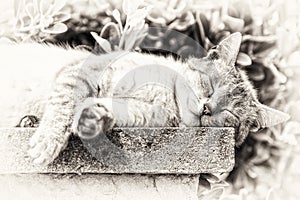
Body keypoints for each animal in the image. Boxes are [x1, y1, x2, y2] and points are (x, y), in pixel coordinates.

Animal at [0, 32, 290, 165]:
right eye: (210, 85)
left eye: (229, 115)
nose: (206, 109)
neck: (167, 95)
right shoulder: (82, 71)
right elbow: (64, 105)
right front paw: (47, 143)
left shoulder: (144, 115)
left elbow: (108, 110)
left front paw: (93, 119)